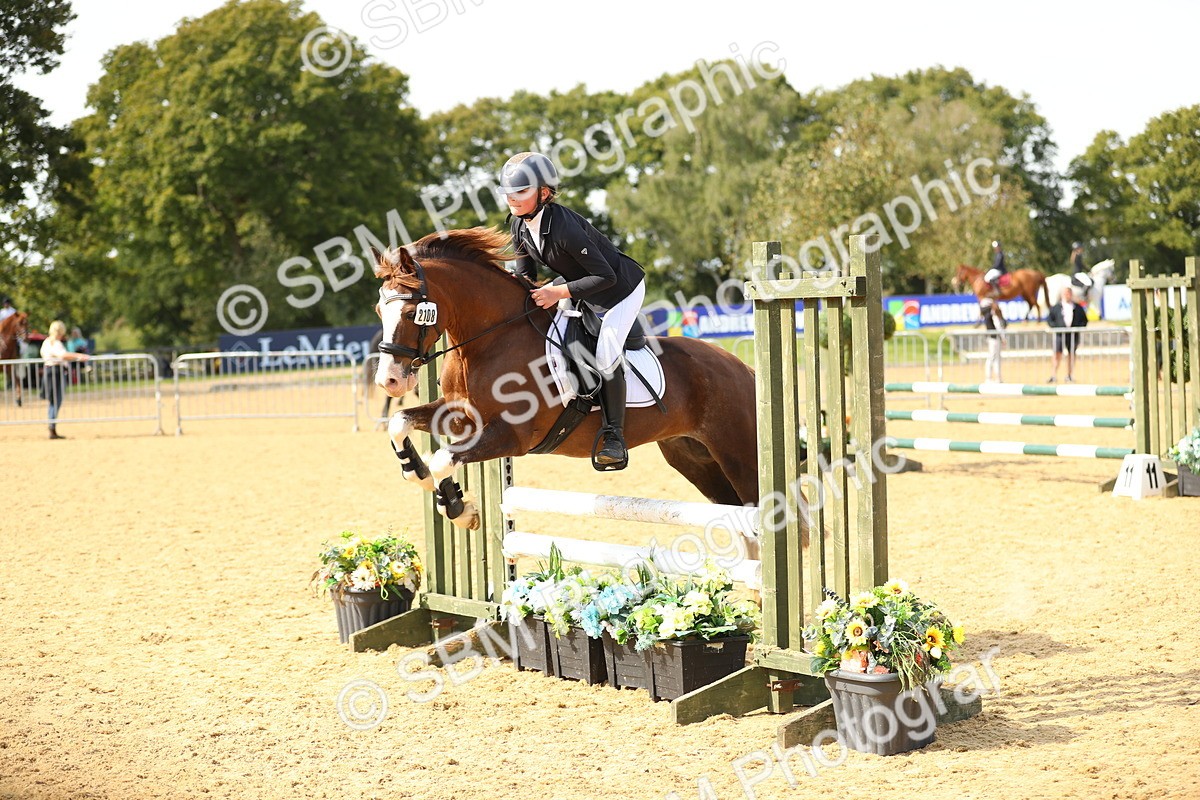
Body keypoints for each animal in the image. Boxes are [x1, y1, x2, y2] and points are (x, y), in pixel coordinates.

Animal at [372, 227, 762, 548]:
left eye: (411, 314)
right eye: (378, 310)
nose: (390, 380)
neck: (491, 340)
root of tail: (743, 368)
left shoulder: (511, 436)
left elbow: (443, 458)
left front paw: (457, 507)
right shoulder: (461, 415)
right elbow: (401, 425)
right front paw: (430, 483)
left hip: (739, 456)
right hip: (695, 458)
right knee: (741, 519)